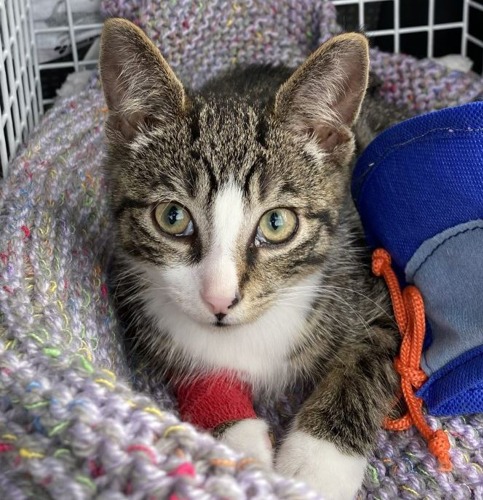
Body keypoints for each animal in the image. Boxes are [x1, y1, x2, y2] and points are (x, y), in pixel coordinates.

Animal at [101, 19, 404, 500]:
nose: (219, 299)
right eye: (172, 217)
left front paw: (317, 464)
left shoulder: (380, 277)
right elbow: (195, 371)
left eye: (277, 223)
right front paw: (237, 451)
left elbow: (368, 357)